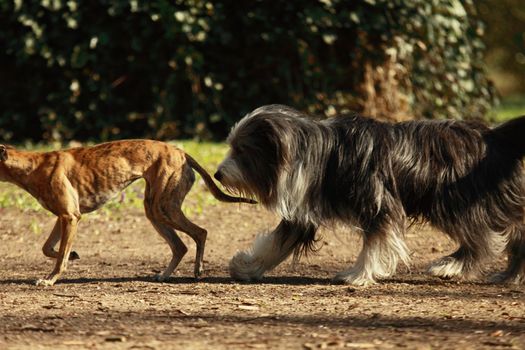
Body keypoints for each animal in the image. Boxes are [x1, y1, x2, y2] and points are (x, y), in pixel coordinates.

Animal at [214, 104, 524, 284]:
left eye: (241, 150)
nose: (217, 174)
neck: (323, 153)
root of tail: (492, 135)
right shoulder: (302, 212)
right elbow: (277, 242)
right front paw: (247, 268)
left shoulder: (379, 203)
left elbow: (374, 242)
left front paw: (358, 274)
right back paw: (510, 275)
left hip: (456, 202)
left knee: (484, 239)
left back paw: (451, 267)